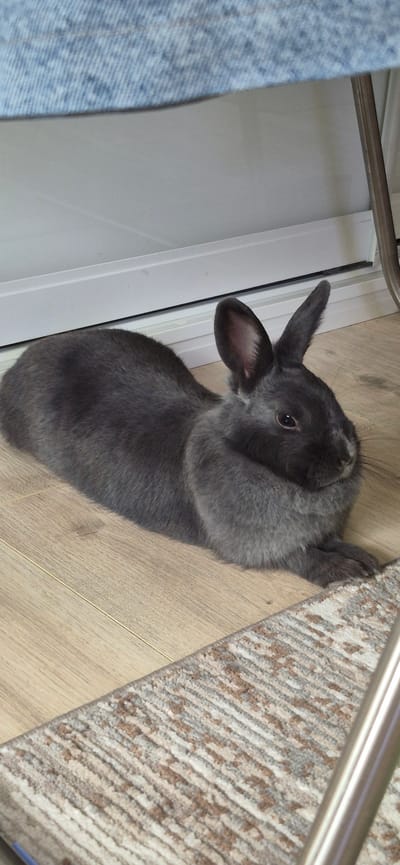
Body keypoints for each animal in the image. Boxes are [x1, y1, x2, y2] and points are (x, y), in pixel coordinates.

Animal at [0, 280, 377, 586]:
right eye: (287, 419)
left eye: (332, 396)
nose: (346, 457)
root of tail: (22, 361)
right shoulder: (261, 547)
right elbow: (302, 557)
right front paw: (346, 571)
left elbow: (331, 541)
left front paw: (366, 559)